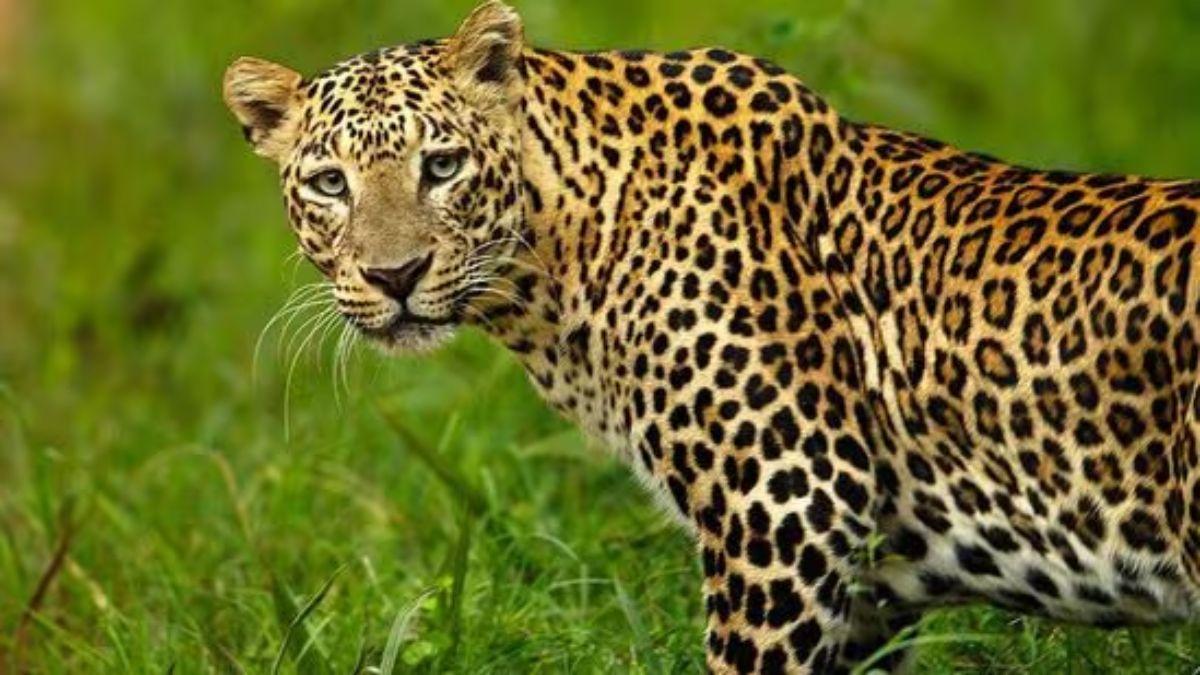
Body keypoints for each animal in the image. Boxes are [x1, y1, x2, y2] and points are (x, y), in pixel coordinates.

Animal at [222, 2, 1200, 672]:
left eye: (443, 164)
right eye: (330, 182)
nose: (395, 274)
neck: (553, 265)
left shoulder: (788, 505)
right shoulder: (865, 588)